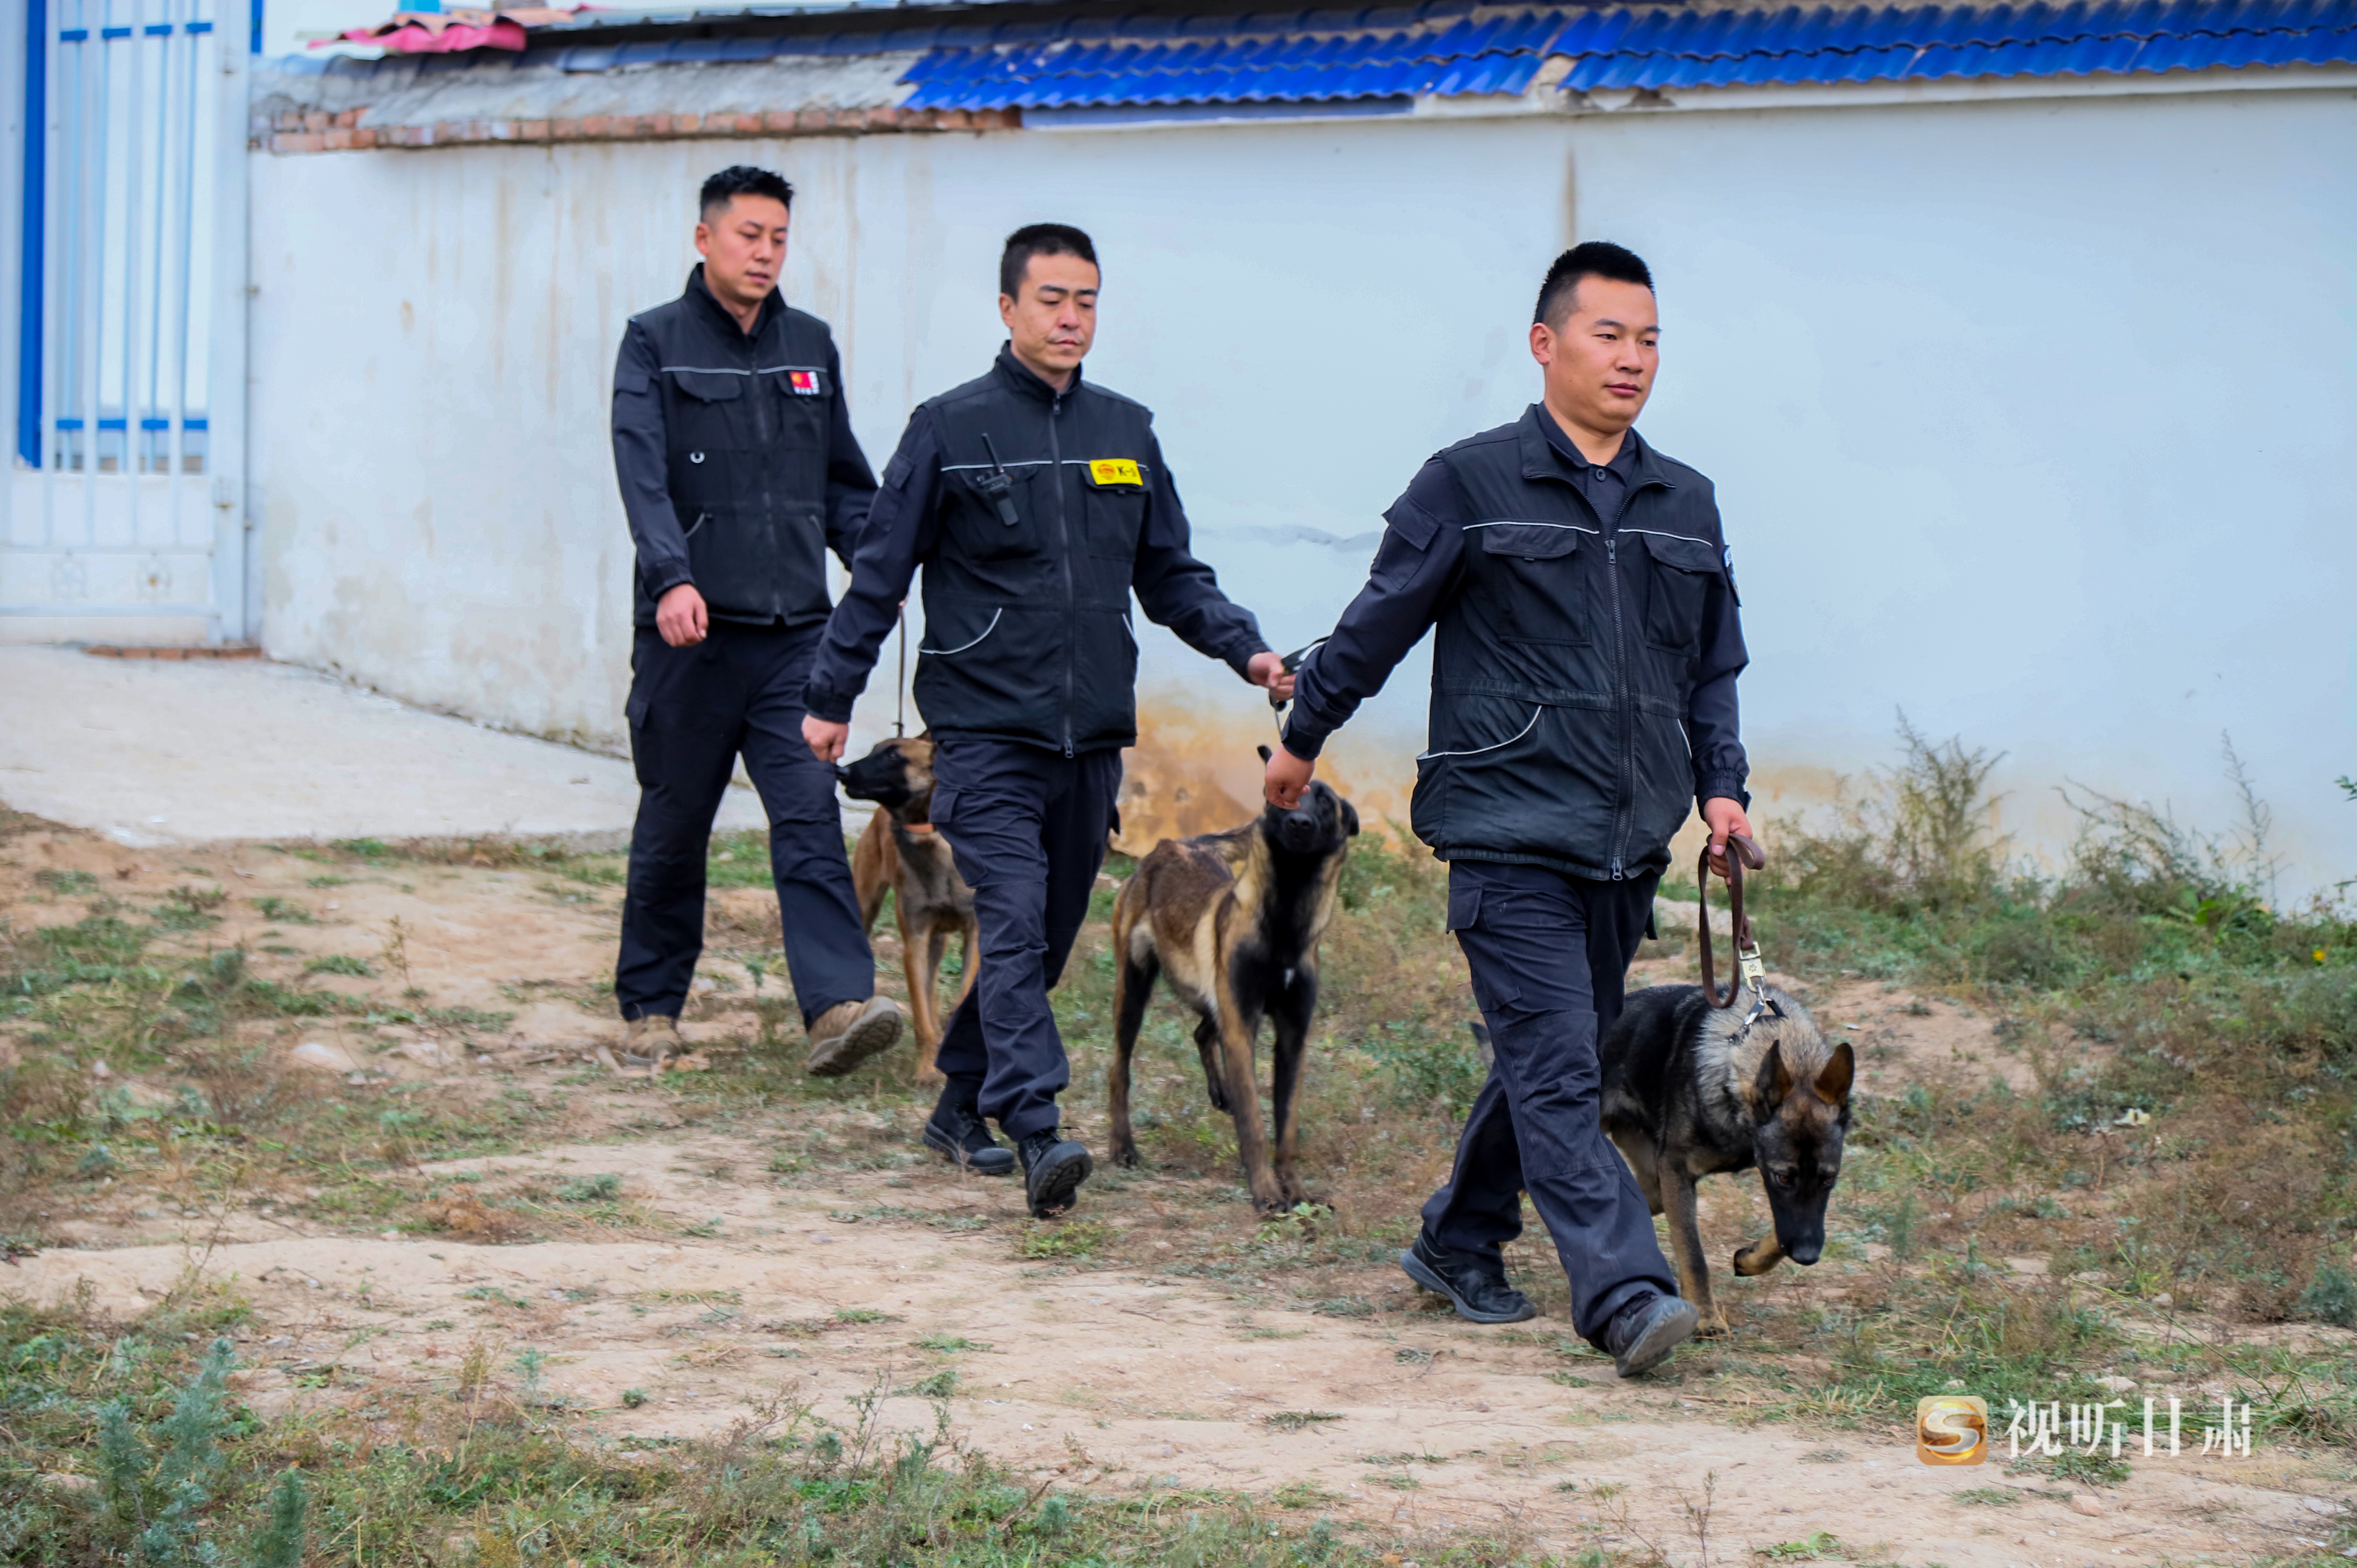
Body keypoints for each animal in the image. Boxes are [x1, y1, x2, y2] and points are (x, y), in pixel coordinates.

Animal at [839, 731, 976, 1075]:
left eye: (893, 756)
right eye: (874, 751)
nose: (841, 771)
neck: (928, 832)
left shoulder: (975, 935)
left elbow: (963, 995)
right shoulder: (914, 943)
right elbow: (922, 1015)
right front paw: (927, 1070)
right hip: (868, 908)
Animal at [1108, 754, 1367, 1216]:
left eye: (1324, 803)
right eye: (1287, 797)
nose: (1298, 822)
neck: (1284, 923)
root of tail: (1172, 844)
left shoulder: (1291, 1038)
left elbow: (1287, 1130)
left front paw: (1296, 1192)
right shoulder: (1242, 1027)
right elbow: (1255, 1124)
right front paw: (1266, 1193)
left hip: (1214, 999)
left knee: (1201, 1031)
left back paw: (1219, 1090)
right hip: (1135, 988)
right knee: (1119, 1069)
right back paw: (1123, 1147)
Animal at [1602, 981, 1857, 1330]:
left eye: (1829, 1178)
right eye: (1783, 1177)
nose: (1808, 1257)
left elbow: (1786, 1229)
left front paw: (1752, 1259)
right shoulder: (1676, 1171)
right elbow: (1693, 1253)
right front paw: (1707, 1318)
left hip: (1653, 1182)